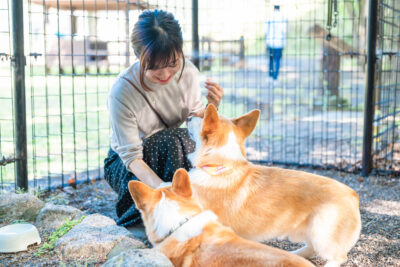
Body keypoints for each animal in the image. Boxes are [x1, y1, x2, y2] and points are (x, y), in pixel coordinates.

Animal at [188, 104, 362, 267]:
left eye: (202, 117)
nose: (189, 116)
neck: (221, 166)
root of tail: (353, 194)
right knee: (311, 249)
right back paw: (294, 254)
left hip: (321, 232)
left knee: (338, 256)